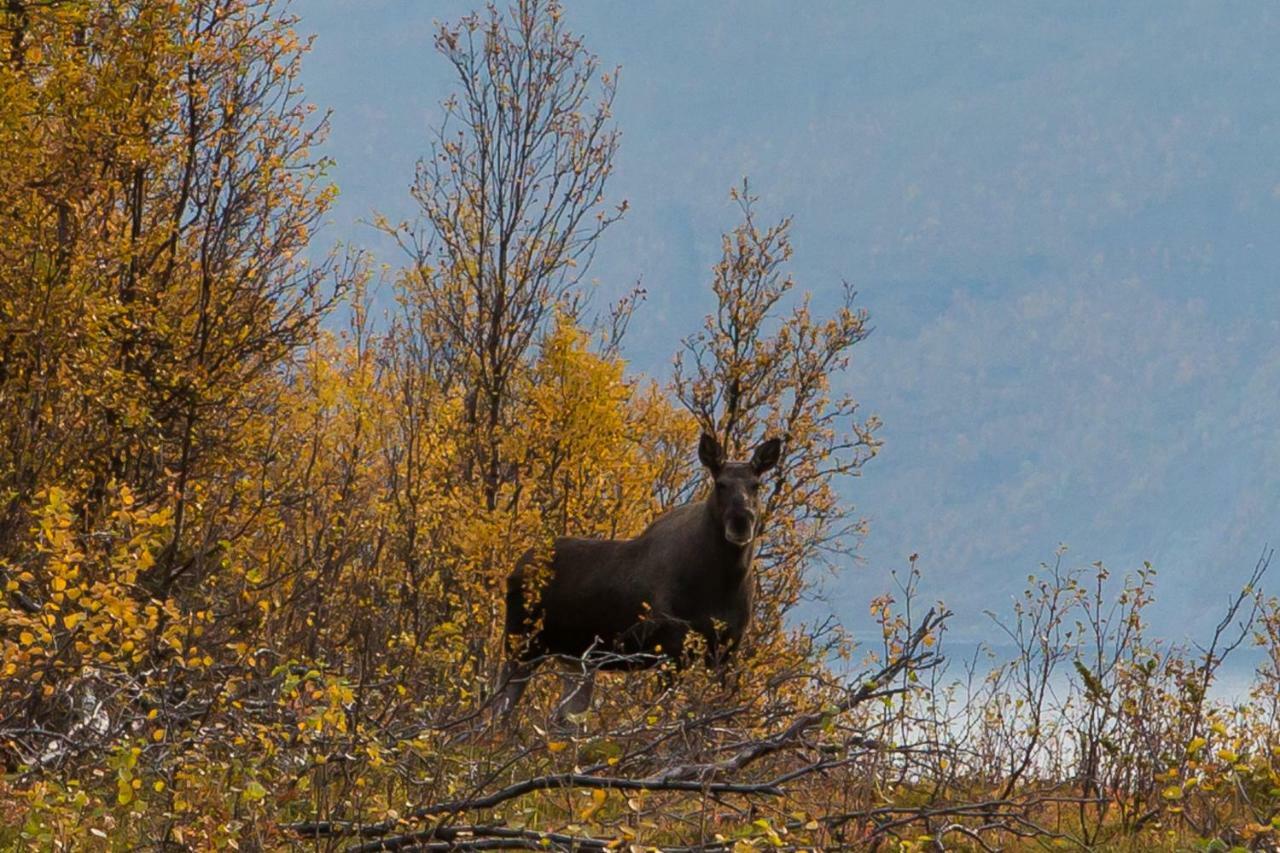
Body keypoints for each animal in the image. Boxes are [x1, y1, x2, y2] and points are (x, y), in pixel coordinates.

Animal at [496, 432, 778, 717]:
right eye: (720, 484)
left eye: (756, 485)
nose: (741, 520)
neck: (724, 582)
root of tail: (515, 570)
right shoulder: (672, 646)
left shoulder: (727, 647)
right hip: (521, 644)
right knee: (500, 708)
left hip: (574, 658)